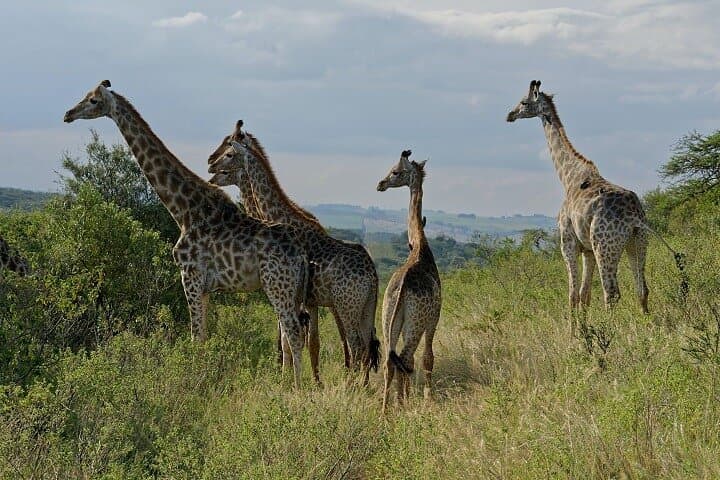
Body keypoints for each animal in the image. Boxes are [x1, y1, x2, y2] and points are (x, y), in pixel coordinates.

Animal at [63, 80, 312, 387]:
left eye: (94, 100)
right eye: (86, 96)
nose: (68, 114)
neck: (183, 210)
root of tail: (301, 256)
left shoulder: (189, 276)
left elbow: (195, 338)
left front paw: (195, 384)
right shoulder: (205, 287)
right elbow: (203, 336)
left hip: (278, 286)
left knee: (294, 334)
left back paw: (296, 389)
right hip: (291, 290)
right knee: (291, 334)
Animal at [207, 123, 380, 384]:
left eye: (229, 151)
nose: (210, 166)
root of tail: (372, 274)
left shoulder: (296, 297)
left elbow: (291, 341)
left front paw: (291, 379)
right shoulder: (310, 300)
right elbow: (305, 342)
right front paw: (304, 379)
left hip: (346, 305)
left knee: (356, 345)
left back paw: (351, 385)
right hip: (366, 305)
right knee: (367, 346)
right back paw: (363, 385)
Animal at [506, 80, 684, 320]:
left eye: (524, 102)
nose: (510, 115)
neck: (568, 177)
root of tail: (635, 217)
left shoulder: (568, 242)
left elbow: (572, 296)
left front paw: (575, 330)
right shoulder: (587, 249)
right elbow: (585, 295)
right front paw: (584, 327)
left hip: (605, 246)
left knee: (611, 293)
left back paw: (611, 328)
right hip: (637, 242)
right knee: (642, 289)